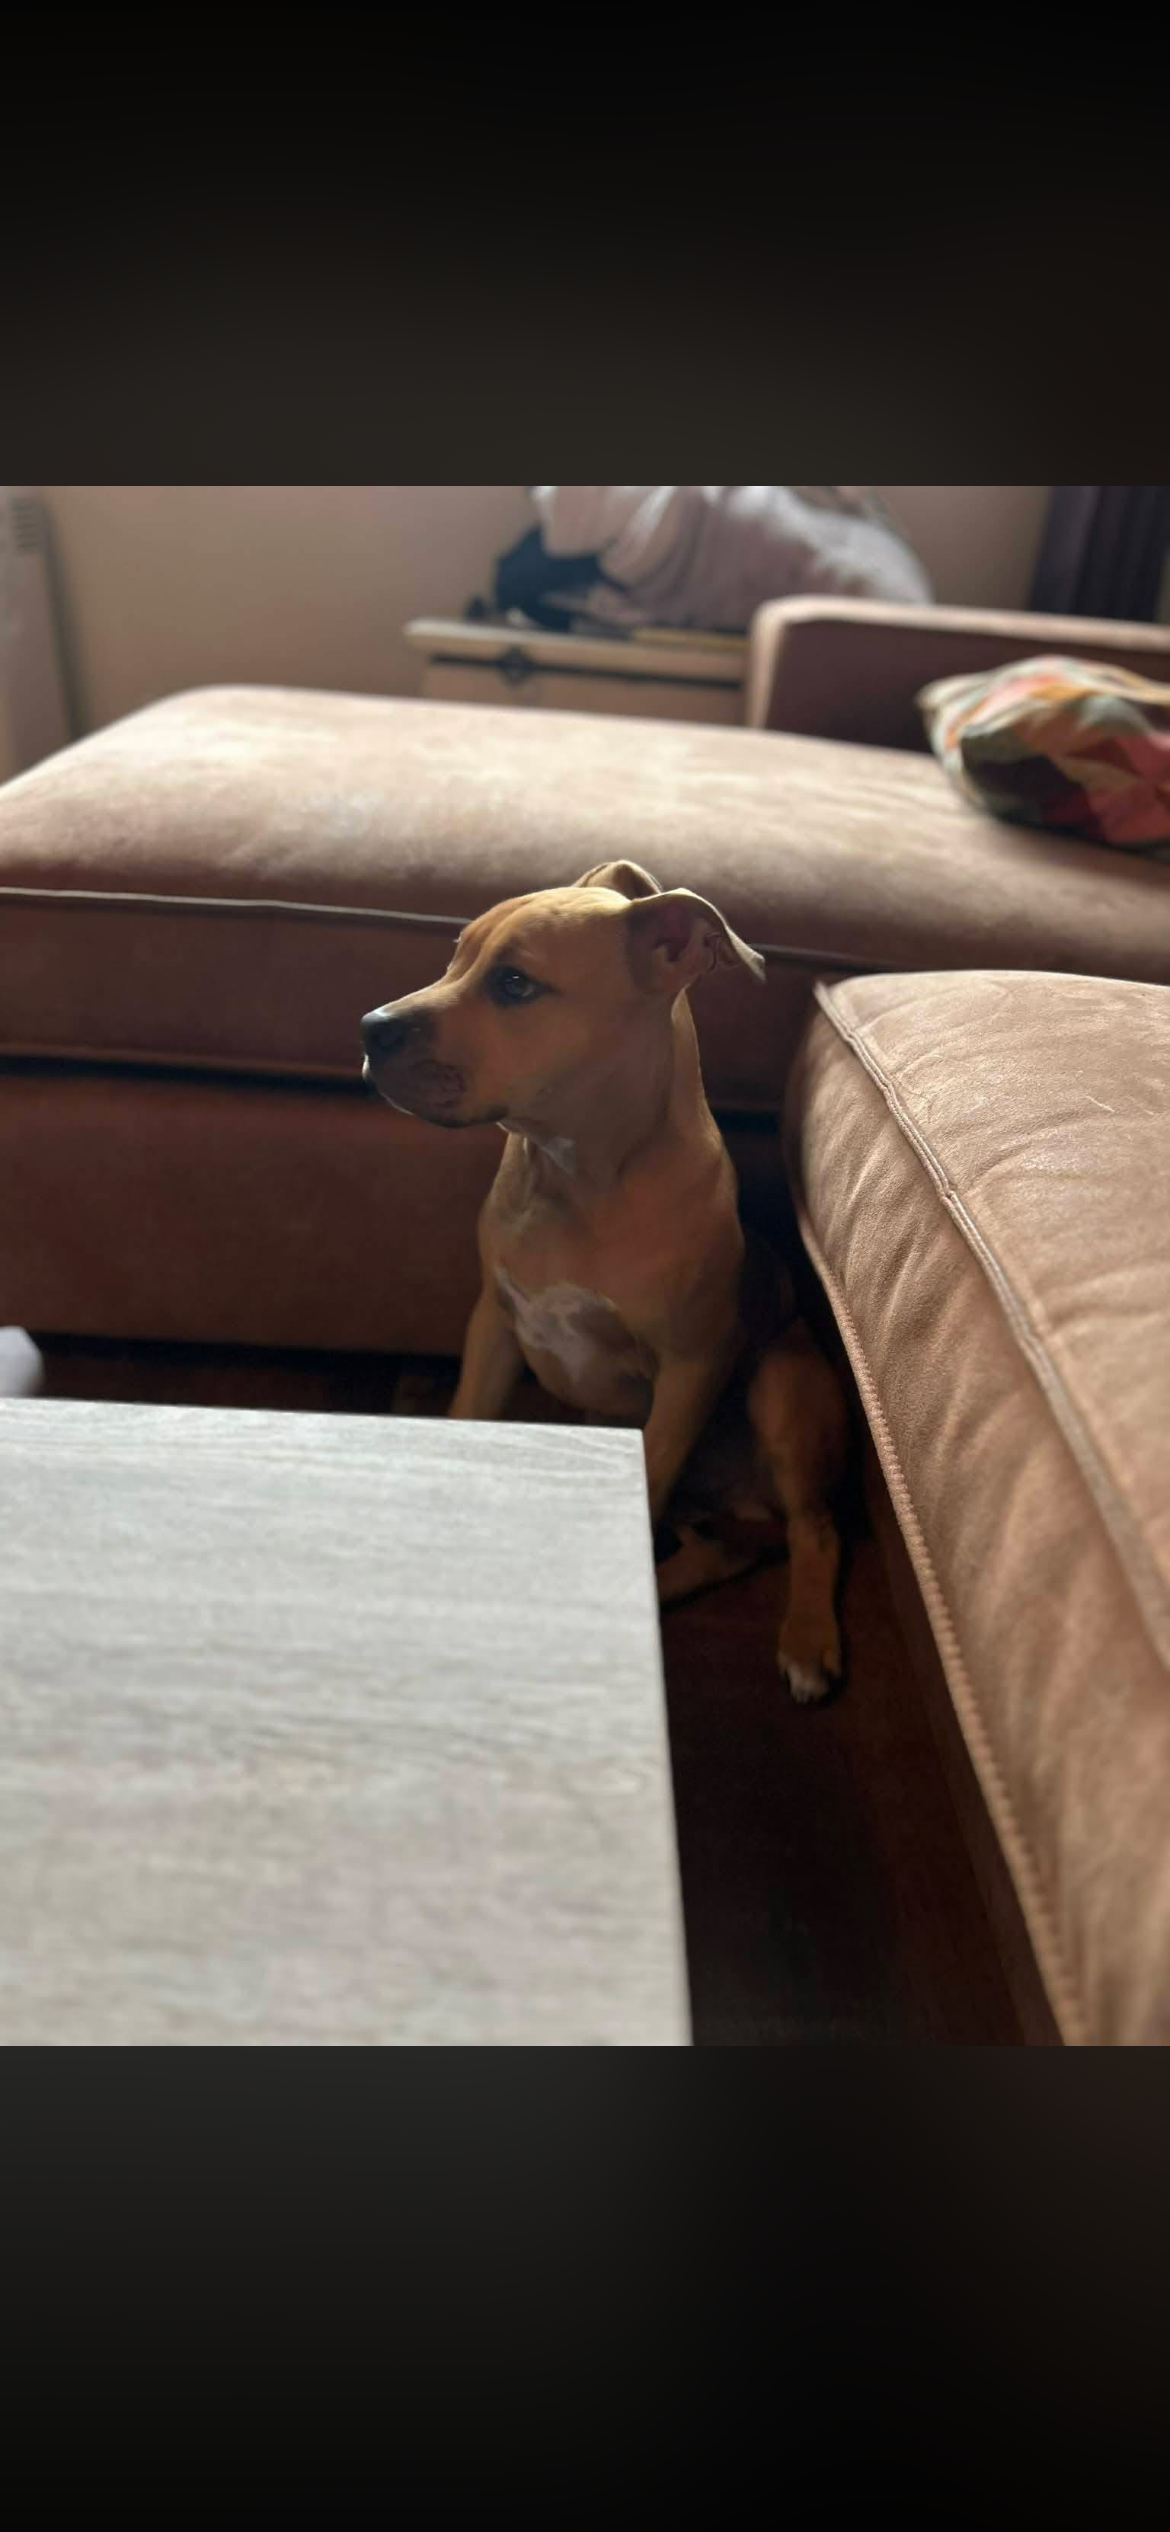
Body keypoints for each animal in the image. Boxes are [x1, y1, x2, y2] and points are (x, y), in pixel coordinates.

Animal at [362, 859, 848, 1701]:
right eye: (456, 956)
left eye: (515, 984)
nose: (370, 1026)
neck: (574, 1174)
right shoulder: (495, 1326)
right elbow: (467, 1418)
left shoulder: (689, 1371)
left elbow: (651, 1474)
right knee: (724, 1549)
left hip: (782, 1389)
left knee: (814, 1531)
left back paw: (807, 1641)